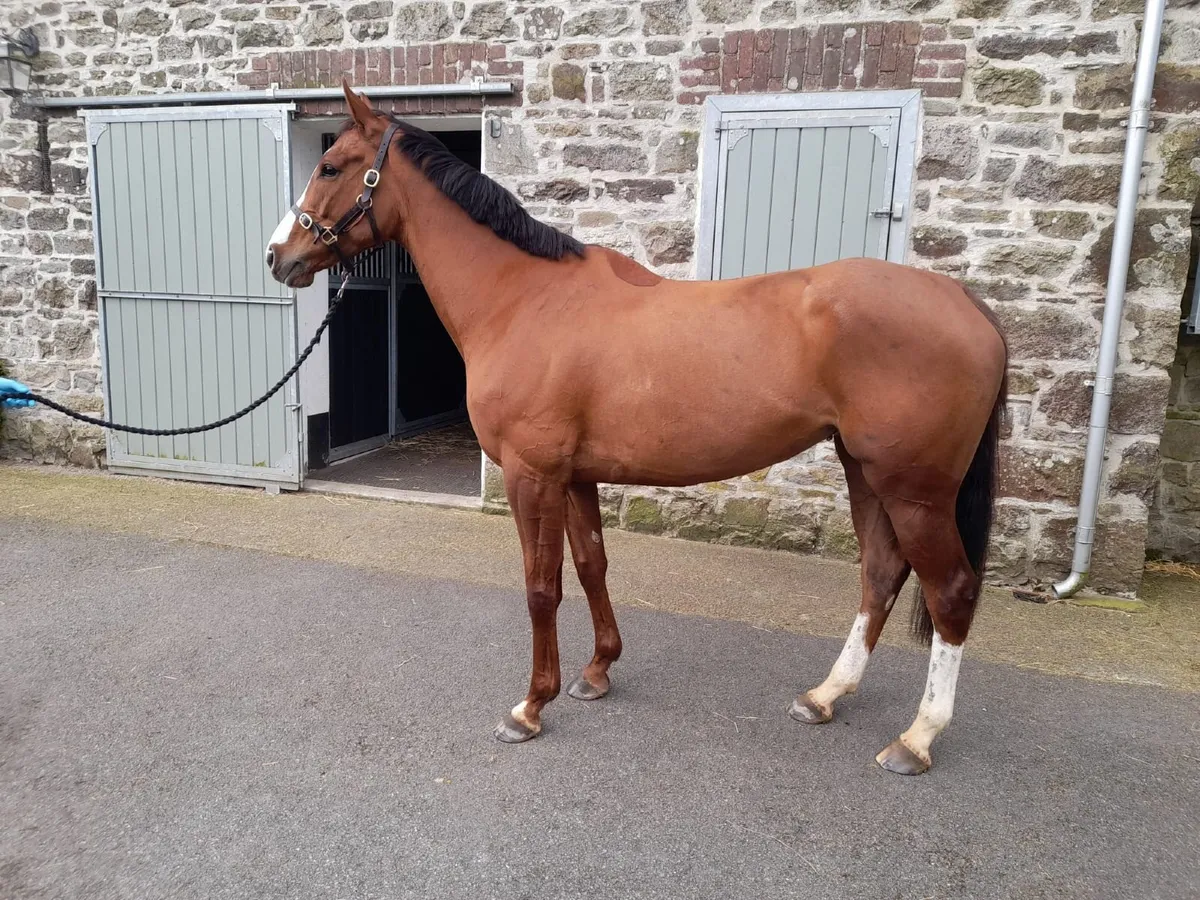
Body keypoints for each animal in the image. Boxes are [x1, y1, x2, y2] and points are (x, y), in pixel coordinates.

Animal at [266, 83, 1008, 776]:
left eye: (330, 166)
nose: (278, 256)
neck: (524, 299)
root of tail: (964, 302)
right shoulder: (575, 477)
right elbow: (591, 565)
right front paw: (597, 672)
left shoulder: (531, 474)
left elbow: (541, 587)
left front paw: (531, 706)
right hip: (865, 472)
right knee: (881, 574)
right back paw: (824, 696)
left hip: (914, 491)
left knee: (950, 591)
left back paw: (916, 738)